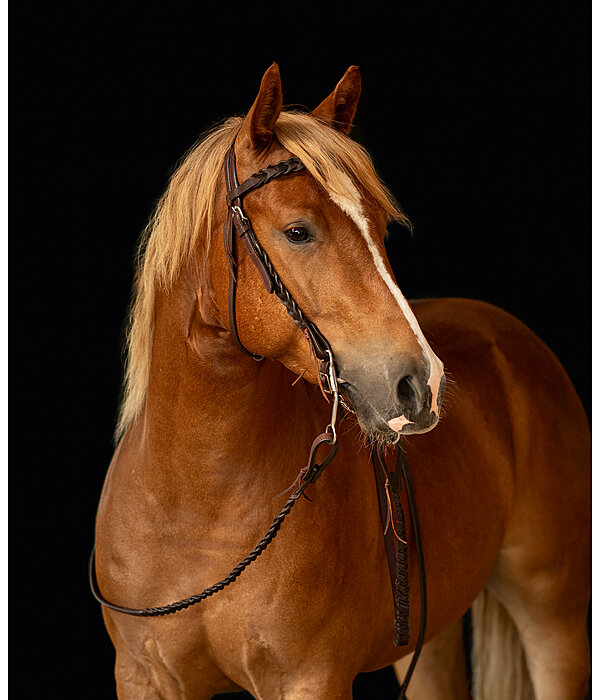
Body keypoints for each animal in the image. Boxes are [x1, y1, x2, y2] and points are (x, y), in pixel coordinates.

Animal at [95, 63, 592, 696]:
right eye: (298, 231)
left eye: (378, 227)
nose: (420, 384)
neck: (194, 508)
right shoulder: (143, 677)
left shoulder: (311, 678)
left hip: (553, 617)